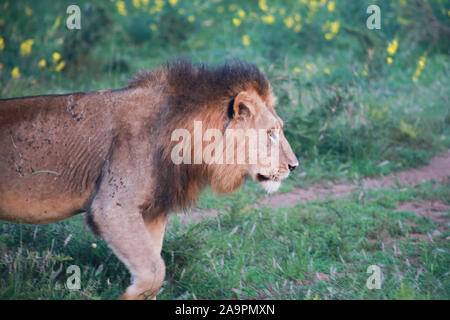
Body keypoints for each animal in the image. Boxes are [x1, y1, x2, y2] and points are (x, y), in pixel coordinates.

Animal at [0, 60, 298, 300]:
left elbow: (154, 265)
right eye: (271, 133)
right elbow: (155, 271)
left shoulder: (152, 213)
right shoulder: (112, 207)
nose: (294, 166)